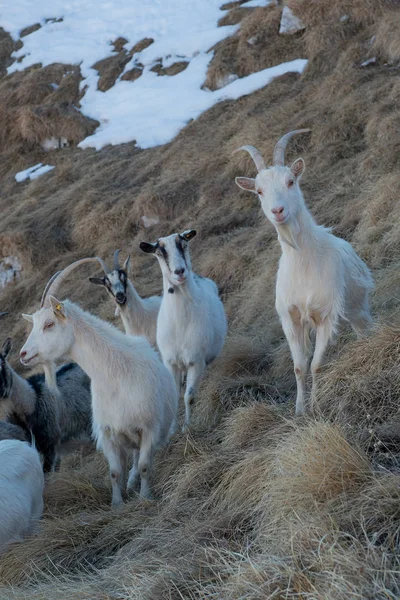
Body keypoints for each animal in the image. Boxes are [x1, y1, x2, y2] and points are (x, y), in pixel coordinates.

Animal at [19, 258, 179, 506]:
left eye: (49, 324)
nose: (23, 354)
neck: (115, 376)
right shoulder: (108, 432)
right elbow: (114, 472)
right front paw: (117, 504)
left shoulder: (149, 427)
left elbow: (144, 465)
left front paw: (145, 498)